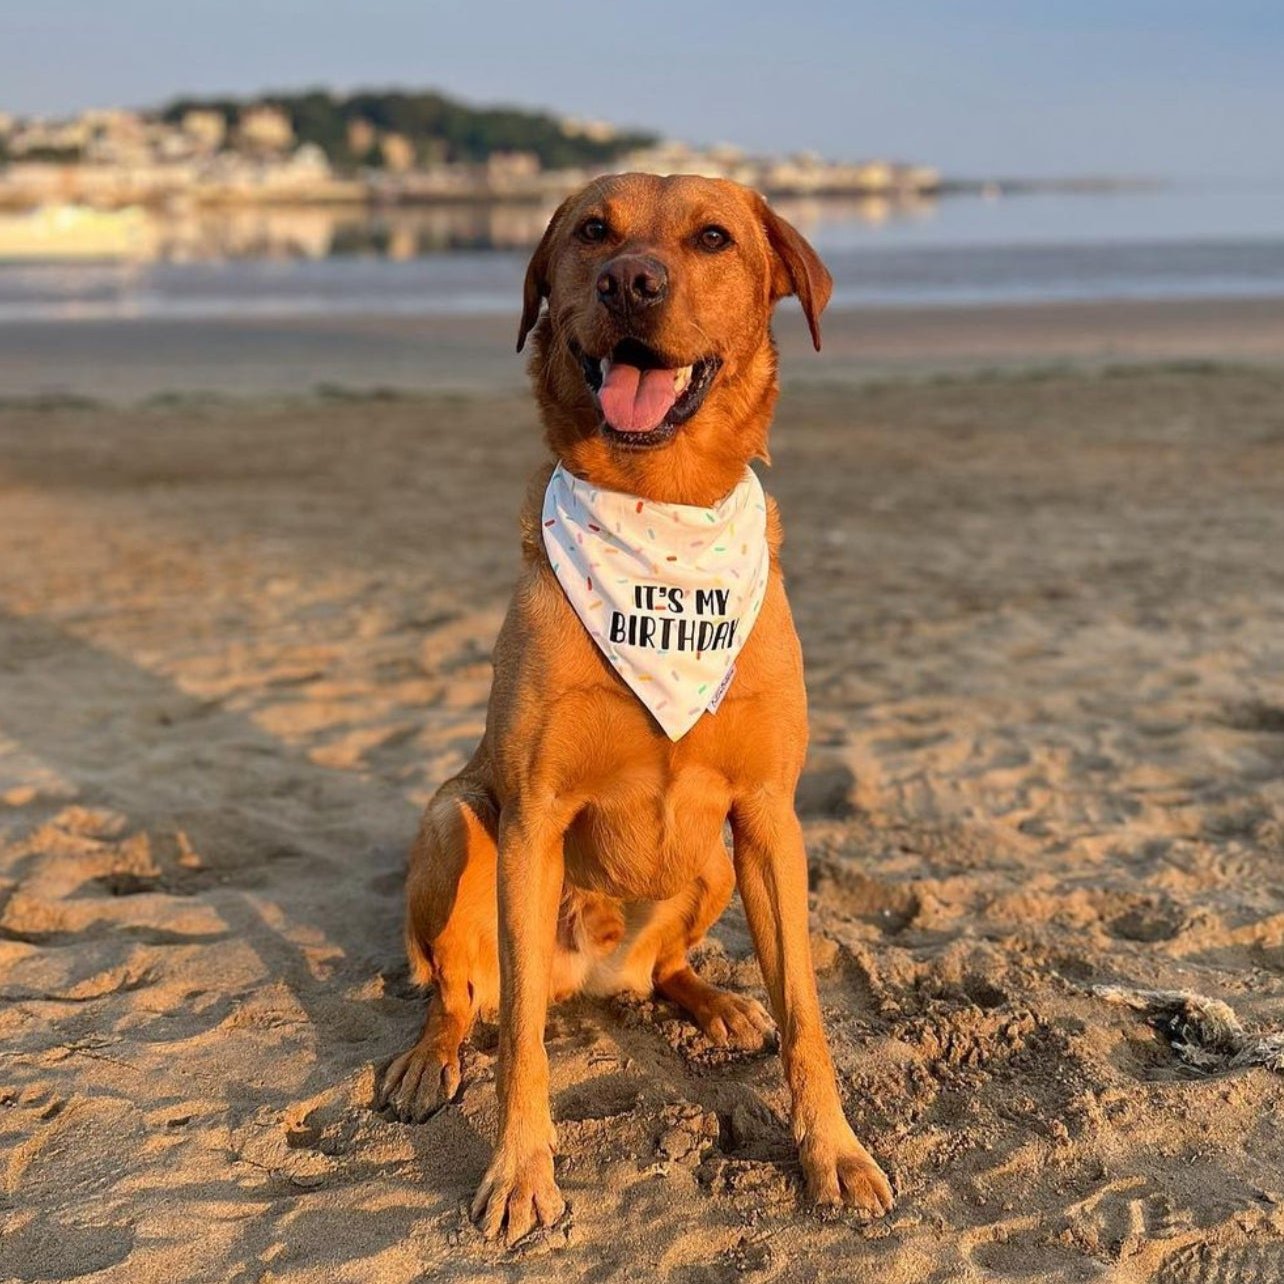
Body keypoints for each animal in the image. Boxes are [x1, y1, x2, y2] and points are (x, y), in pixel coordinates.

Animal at [374, 173, 888, 1242]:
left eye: (714, 237)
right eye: (592, 232)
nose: (630, 281)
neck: (664, 507)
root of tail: (593, 975)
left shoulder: (770, 818)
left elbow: (808, 1019)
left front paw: (834, 1152)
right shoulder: (531, 817)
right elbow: (521, 1046)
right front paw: (520, 1171)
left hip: (718, 862)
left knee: (663, 971)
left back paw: (714, 1001)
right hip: (455, 818)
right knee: (460, 990)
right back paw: (429, 1057)